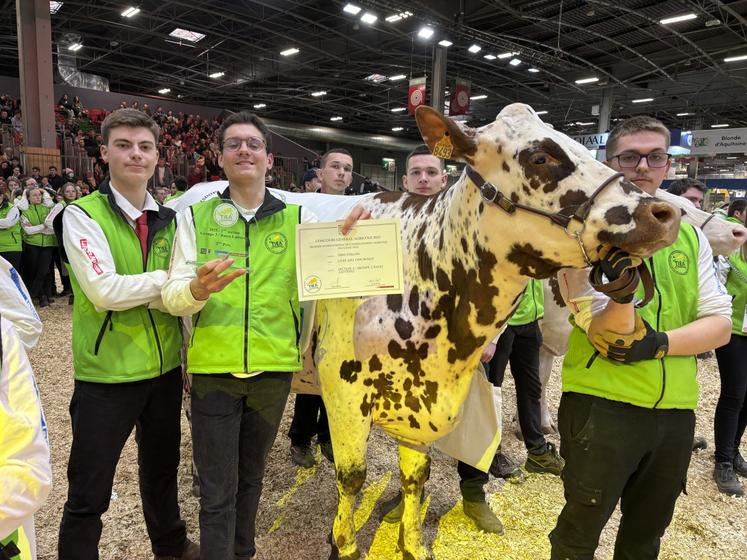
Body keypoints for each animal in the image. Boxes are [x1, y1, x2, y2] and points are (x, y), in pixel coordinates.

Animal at [316, 104, 684, 560]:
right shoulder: (342, 387)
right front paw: (344, 544)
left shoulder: (421, 402)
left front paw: (413, 545)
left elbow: (416, 477)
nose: (664, 214)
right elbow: (352, 477)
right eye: (540, 157)